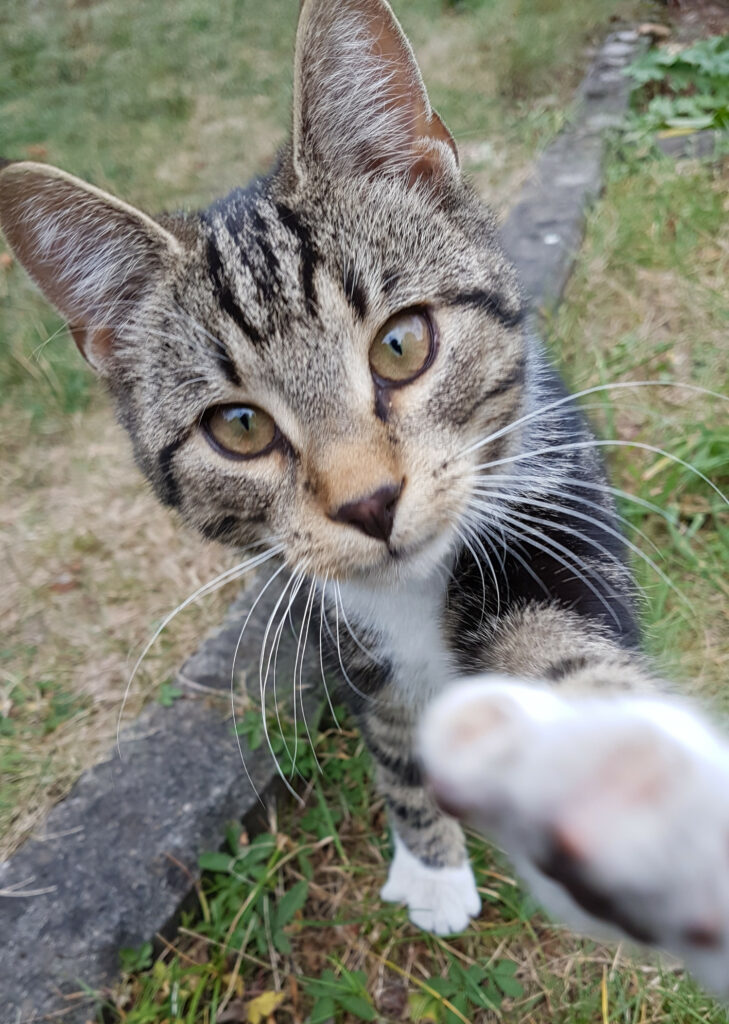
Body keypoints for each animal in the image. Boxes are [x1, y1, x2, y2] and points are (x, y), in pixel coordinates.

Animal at [1, 0, 729, 999]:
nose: (369, 502)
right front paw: (430, 864)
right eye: (237, 427)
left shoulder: (551, 525)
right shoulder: (343, 635)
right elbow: (391, 733)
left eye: (401, 344)